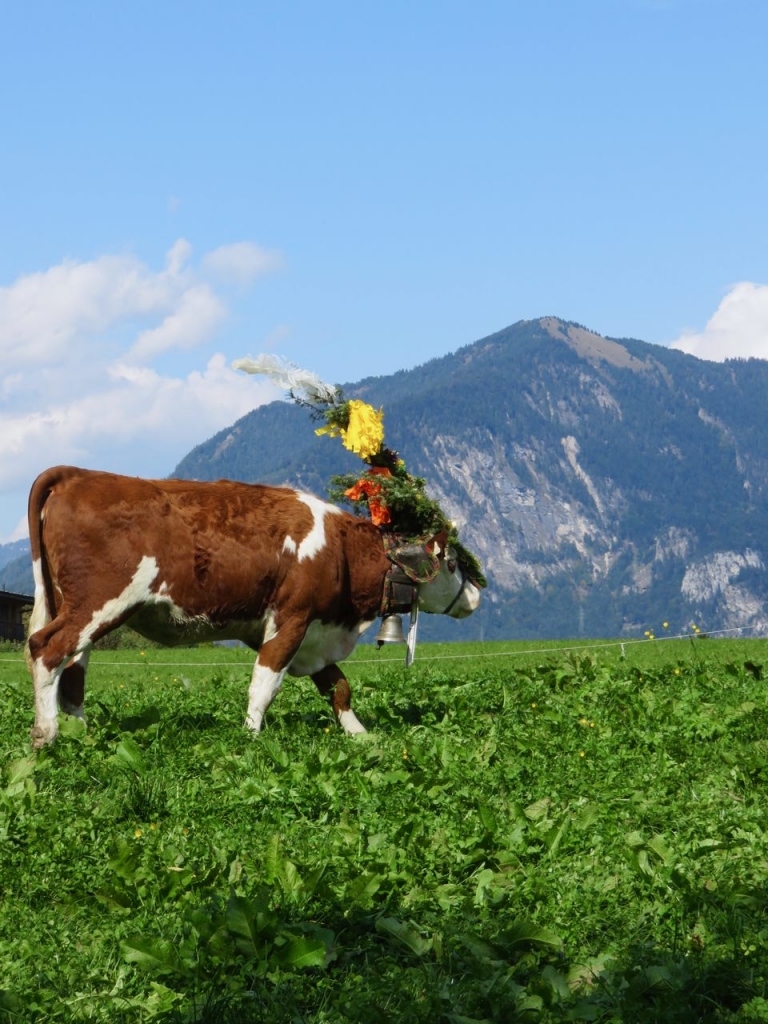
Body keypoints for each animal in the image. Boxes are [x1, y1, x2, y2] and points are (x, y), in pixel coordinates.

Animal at [27, 468, 483, 749]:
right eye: (453, 563)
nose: (477, 594)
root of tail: (77, 473)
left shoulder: (312, 632)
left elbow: (338, 686)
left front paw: (360, 734)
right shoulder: (292, 618)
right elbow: (265, 684)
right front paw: (251, 738)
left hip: (76, 606)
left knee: (73, 670)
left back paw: (80, 732)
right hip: (101, 603)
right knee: (46, 649)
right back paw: (47, 734)